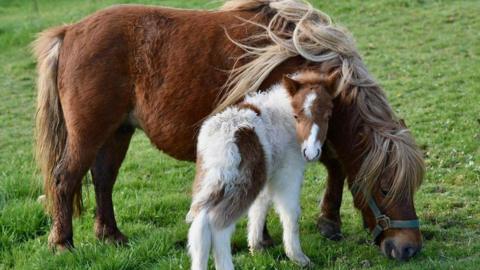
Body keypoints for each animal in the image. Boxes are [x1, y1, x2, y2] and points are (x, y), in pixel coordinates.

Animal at [186, 70, 336, 268]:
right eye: (297, 116)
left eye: (328, 116)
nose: (311, 153)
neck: (283, 117)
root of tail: (223, 139)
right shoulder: (288, 172)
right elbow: (291, 213)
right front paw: (298, 258)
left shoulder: (268, 173)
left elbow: (260, 205)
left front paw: (256, 247)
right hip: (243, 183)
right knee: (218, 225)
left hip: (211, 180)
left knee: (200, 225)